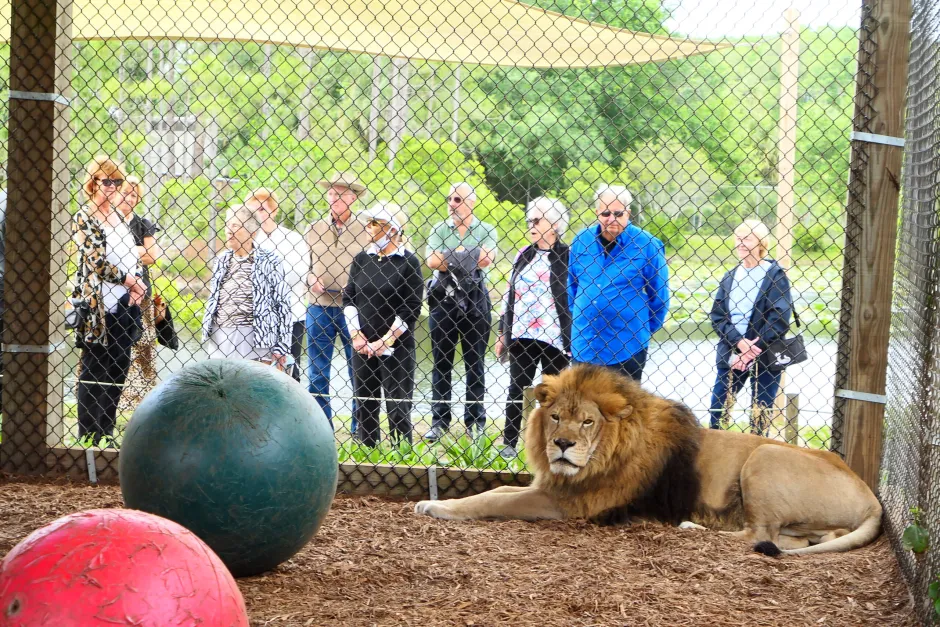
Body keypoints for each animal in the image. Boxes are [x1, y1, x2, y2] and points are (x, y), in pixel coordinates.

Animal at [415, 364, 882, 556]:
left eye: (587, 421)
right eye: (556, 417)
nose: (561, 444)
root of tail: (872, 497)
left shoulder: (570, 503)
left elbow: (491, 499)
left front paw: (434, 505)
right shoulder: (554, 485)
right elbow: (499, 486)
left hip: (765, 455)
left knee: (758, 534)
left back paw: (692, 528)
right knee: (795, 539)